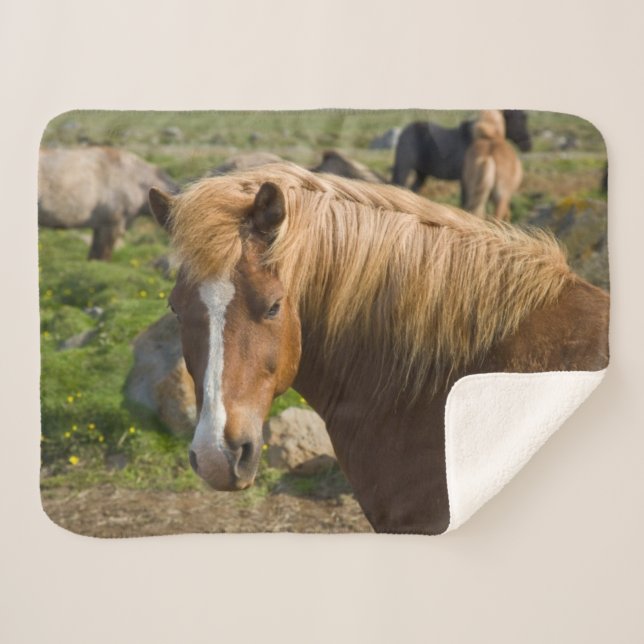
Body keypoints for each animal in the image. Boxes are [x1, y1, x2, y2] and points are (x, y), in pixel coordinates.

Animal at [391, 110, 531, 197]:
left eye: (525, 119)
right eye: (517, 121)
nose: (528, 145)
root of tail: (405, 131)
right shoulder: (466, 180)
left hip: (422, 173)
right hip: (404, 168)